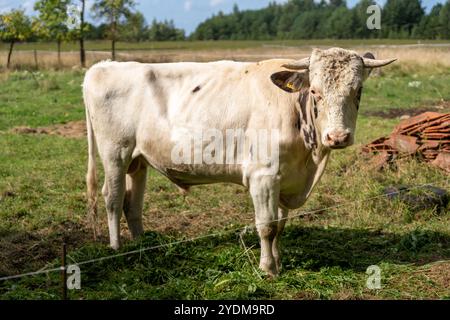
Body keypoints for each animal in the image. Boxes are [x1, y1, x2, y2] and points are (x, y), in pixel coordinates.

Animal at [83, 47, 394, 276]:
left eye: (358, 91)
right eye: (315, 91)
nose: (338, 136)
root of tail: (102, 66)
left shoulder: (286, 178)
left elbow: (280, 225)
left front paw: (278, 261)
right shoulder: (263, 177)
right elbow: (266, 225)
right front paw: (268, 269)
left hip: (138, 160)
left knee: (132, 204)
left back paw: (142, 245)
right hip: (115, 152)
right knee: (112, 198)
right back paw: (117, 248)